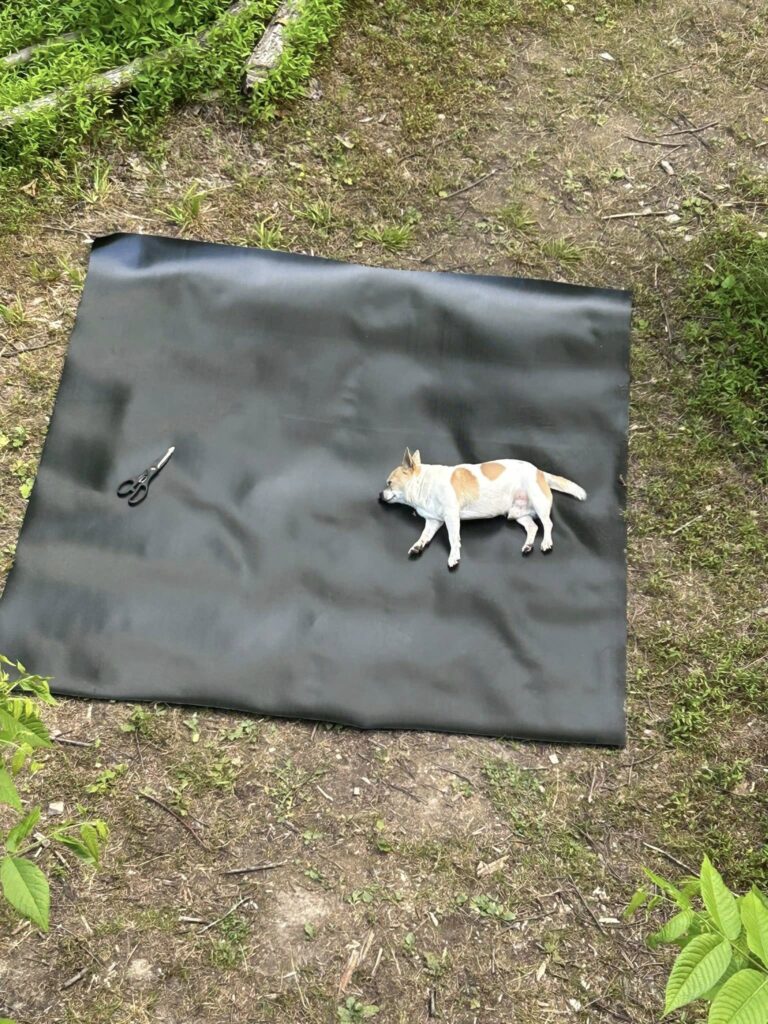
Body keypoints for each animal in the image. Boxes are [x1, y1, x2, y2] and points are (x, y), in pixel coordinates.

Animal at [379, 449, 586, 569]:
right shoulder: (433, 522)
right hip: (518, 514)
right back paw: (528, 545)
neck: (423, 484)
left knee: (547, 524)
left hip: (538, 502)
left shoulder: (451, 517)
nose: (379, 495)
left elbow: (453, 538)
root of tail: (540, 472)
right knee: (533, 527)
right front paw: (418, 546)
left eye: (389, 483)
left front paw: (454, 556)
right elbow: (425, 536)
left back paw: (546, 543)